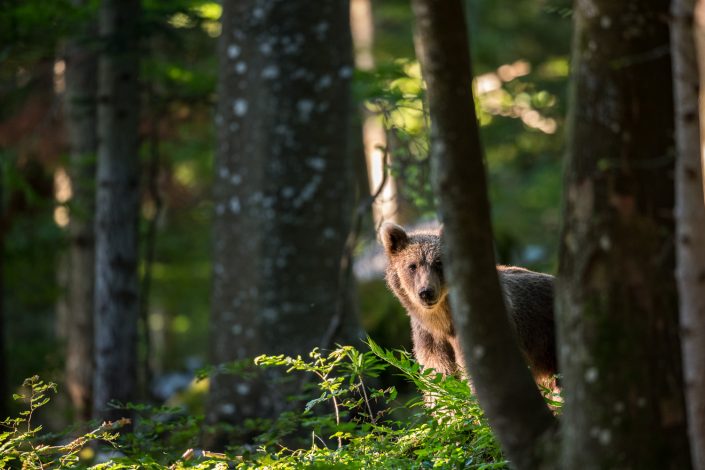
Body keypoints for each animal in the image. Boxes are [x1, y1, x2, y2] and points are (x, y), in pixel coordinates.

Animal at [380, 224, 556, 390]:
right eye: (413, 265)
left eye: (438, 263)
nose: (426, 292)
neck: (442, 321)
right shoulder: (429, 338)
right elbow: (438, 378)